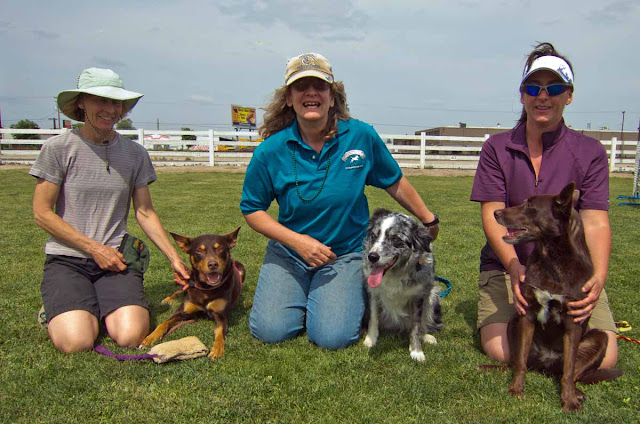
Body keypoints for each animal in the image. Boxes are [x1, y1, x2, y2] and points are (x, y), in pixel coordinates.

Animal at [140, 227, 245, 360]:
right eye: (199, 250)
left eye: (220, 248)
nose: (213, 264)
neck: (206, 288)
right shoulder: (181, 312)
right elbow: (164, 323)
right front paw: (150, 338)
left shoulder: (221, 316)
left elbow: (220, 334)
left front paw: (217, 349)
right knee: (180, 290)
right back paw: (168, 299)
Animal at [362, 208, 443, 362]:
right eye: (374, 235)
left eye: (395, 239)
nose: (372, 257)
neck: (394, 272)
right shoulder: (373, 293)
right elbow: (373, 318)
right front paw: (370, 339)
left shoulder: (418, 296)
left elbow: (416, 325)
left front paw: (416, 351)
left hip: (432, 296)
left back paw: (427, 336)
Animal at [494, 182, 622, 411]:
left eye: (530, 205)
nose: (496, 212)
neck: (552, 260)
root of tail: (546, 364)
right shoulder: (527, 314)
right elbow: (520, 363)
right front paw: (516, 390)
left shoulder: (573, 322)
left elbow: (569, 371)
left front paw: (569, 401)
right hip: (513, 321)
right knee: (519, 361)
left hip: (600, 338)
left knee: (570, 372)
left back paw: (576, 393)